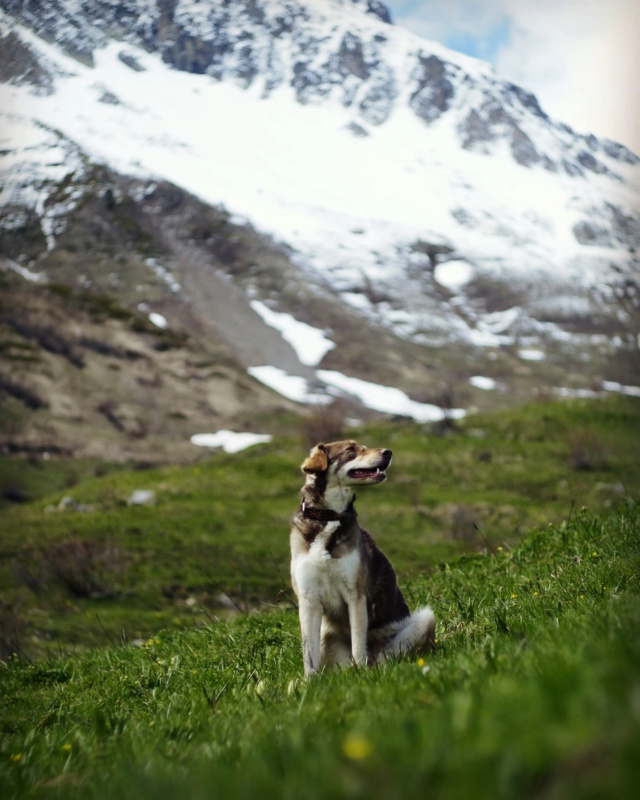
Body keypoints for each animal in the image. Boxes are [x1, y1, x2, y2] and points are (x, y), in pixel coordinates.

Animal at [290, 438, 436, 676]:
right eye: (351, 449)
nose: (388, 452)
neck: (328, 518)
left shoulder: (355, 595)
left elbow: (358, 641)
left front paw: (360, 675)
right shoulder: (308, 600)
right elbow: (308, 655)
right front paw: (308, 682)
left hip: (423, 620)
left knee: (384, 659)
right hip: (326, 635)